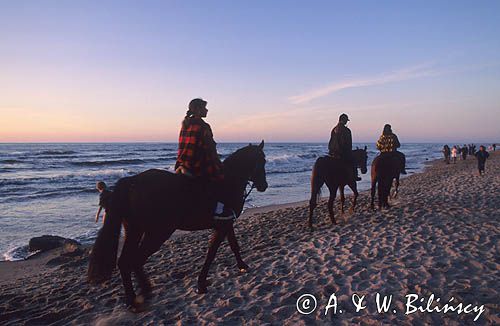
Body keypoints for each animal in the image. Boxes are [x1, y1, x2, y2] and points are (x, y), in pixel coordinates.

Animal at [89, 141, 270, 310]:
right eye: (262, 160)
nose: (264, 186)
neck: (228, 182)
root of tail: (132, 182)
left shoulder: (226, 223)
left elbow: (233, 245)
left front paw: (242, 265)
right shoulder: (223, 225)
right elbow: (212, 252)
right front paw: (201, 283)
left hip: (135, 230)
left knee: (125, 261)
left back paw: (135, 297)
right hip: (157, 232)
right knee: (135, 260)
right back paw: (141, 294)